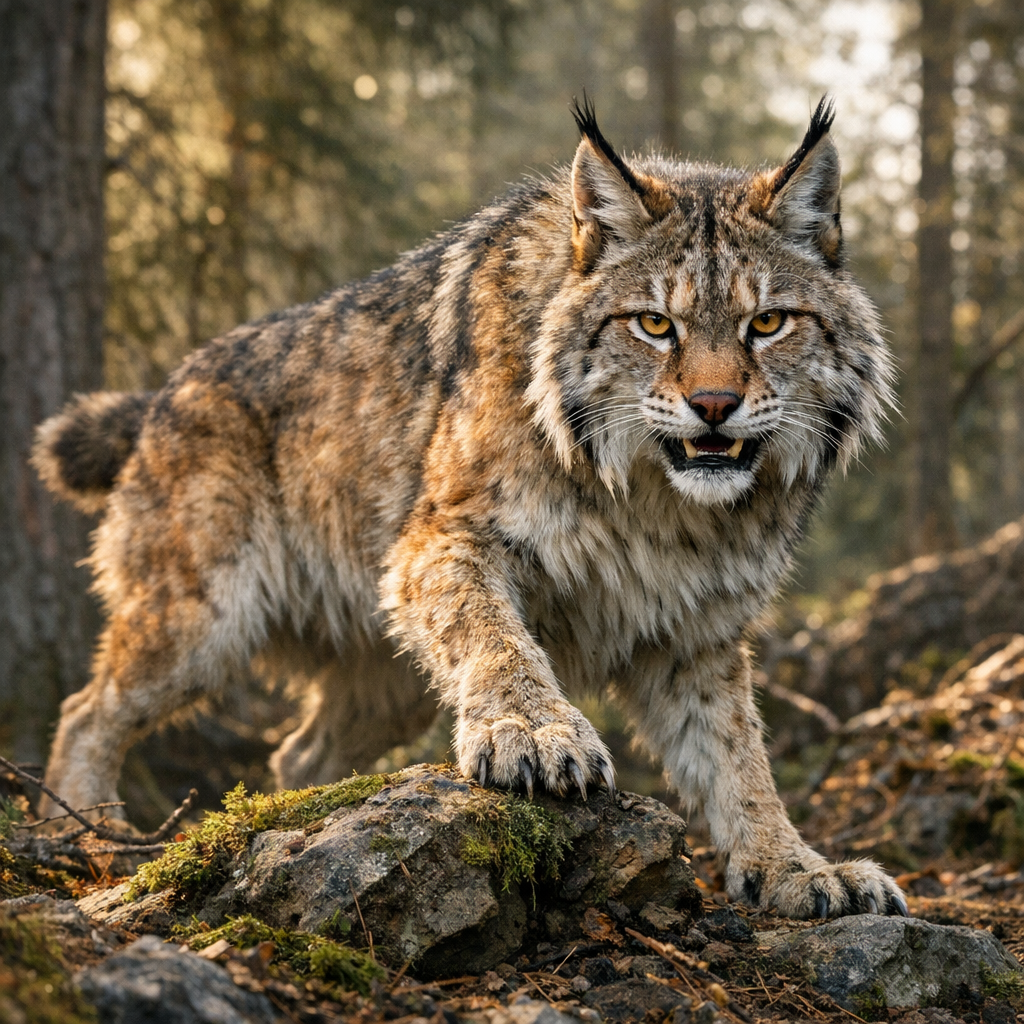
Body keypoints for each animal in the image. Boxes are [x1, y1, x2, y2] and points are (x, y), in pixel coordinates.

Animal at [34, 97, 905, 918]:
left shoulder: (695, 626)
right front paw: (536, 732)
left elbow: (736, 751)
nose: (716, 407)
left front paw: (793, 864)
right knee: (85, 707)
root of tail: (167, 388)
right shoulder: (441, 538)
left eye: (769, 323)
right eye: (656, 325)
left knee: (296, 751)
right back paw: (89, 834)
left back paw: (306, 810)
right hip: (205, 614)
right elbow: (494, 636)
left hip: (375, 674)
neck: (657, 501)